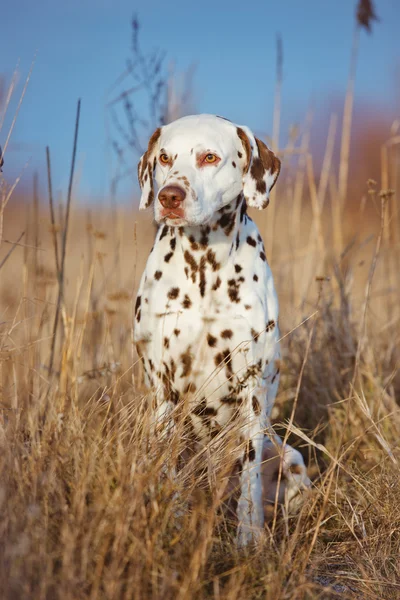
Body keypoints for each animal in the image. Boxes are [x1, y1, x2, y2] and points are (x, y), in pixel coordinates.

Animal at [134, 115, 310, 548]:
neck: (204, 266)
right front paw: (171, 521)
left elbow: (249, 477)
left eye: (209, 157)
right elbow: (170, 464)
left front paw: (249, 537)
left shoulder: (252, 388)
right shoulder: (164, 388)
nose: (169, 196)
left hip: (292, 460)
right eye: (165, 157)